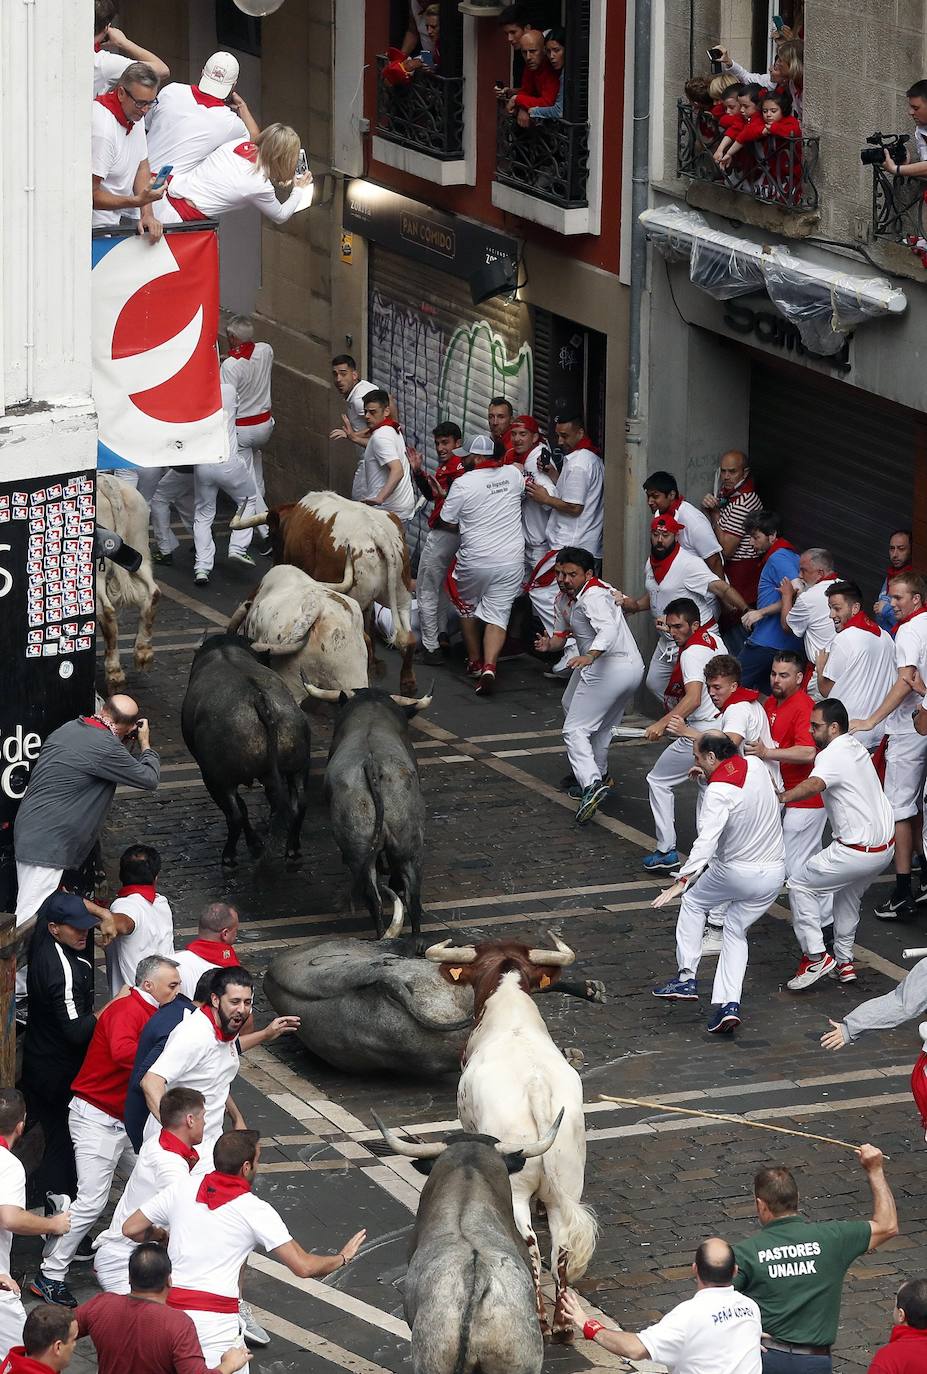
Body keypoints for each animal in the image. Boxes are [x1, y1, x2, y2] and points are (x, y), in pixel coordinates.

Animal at [95, 478, 159, 692]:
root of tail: (106, 483)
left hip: (97, 570)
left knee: (106, 610)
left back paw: (114, 674)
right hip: (139, 550)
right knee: (153, 592)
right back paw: (143, 653)